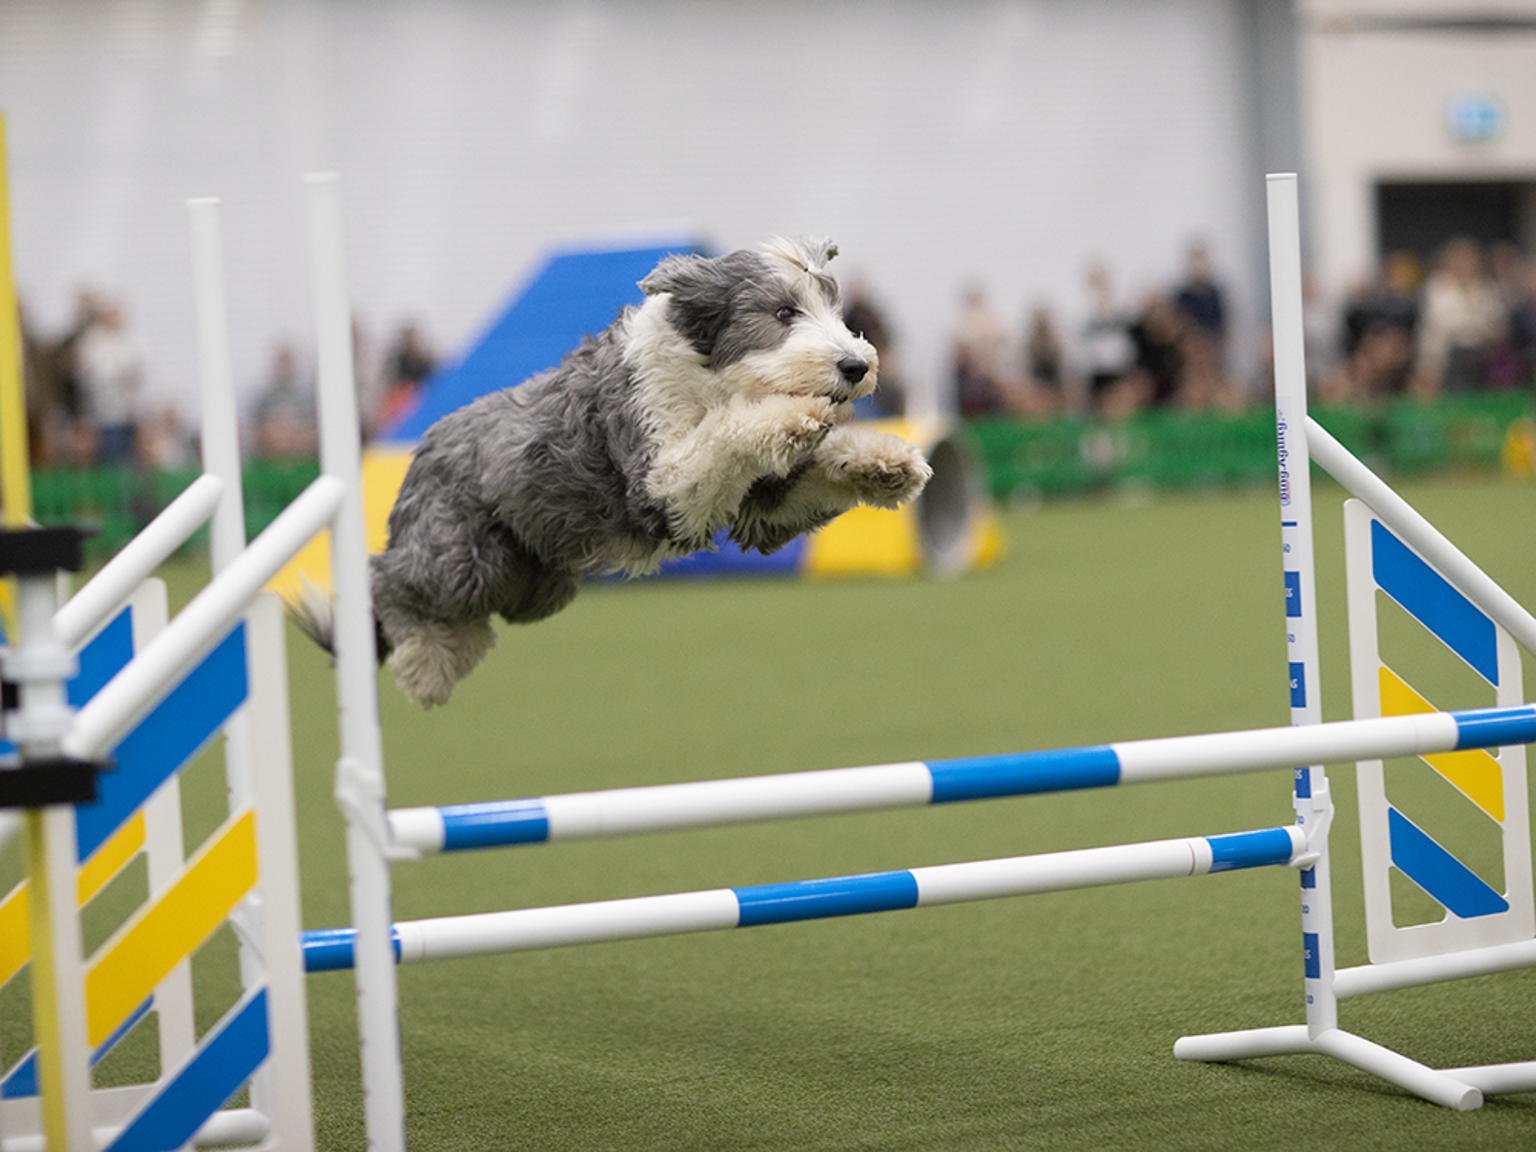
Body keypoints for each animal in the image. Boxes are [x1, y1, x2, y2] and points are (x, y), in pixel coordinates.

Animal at [299, 239, 921, 709]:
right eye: (783, 313)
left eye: (837, 312)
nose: (856, 365)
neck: (707, 375)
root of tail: (422, 450)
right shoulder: (663, 479)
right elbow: (725, 434)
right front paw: (792, 416)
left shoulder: (760, 509)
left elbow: (814, 474)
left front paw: (888, 463)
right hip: (458, 557)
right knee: (387, 578)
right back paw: (422, 667)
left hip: (532, 584)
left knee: (470, 623)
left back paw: (440, 659)